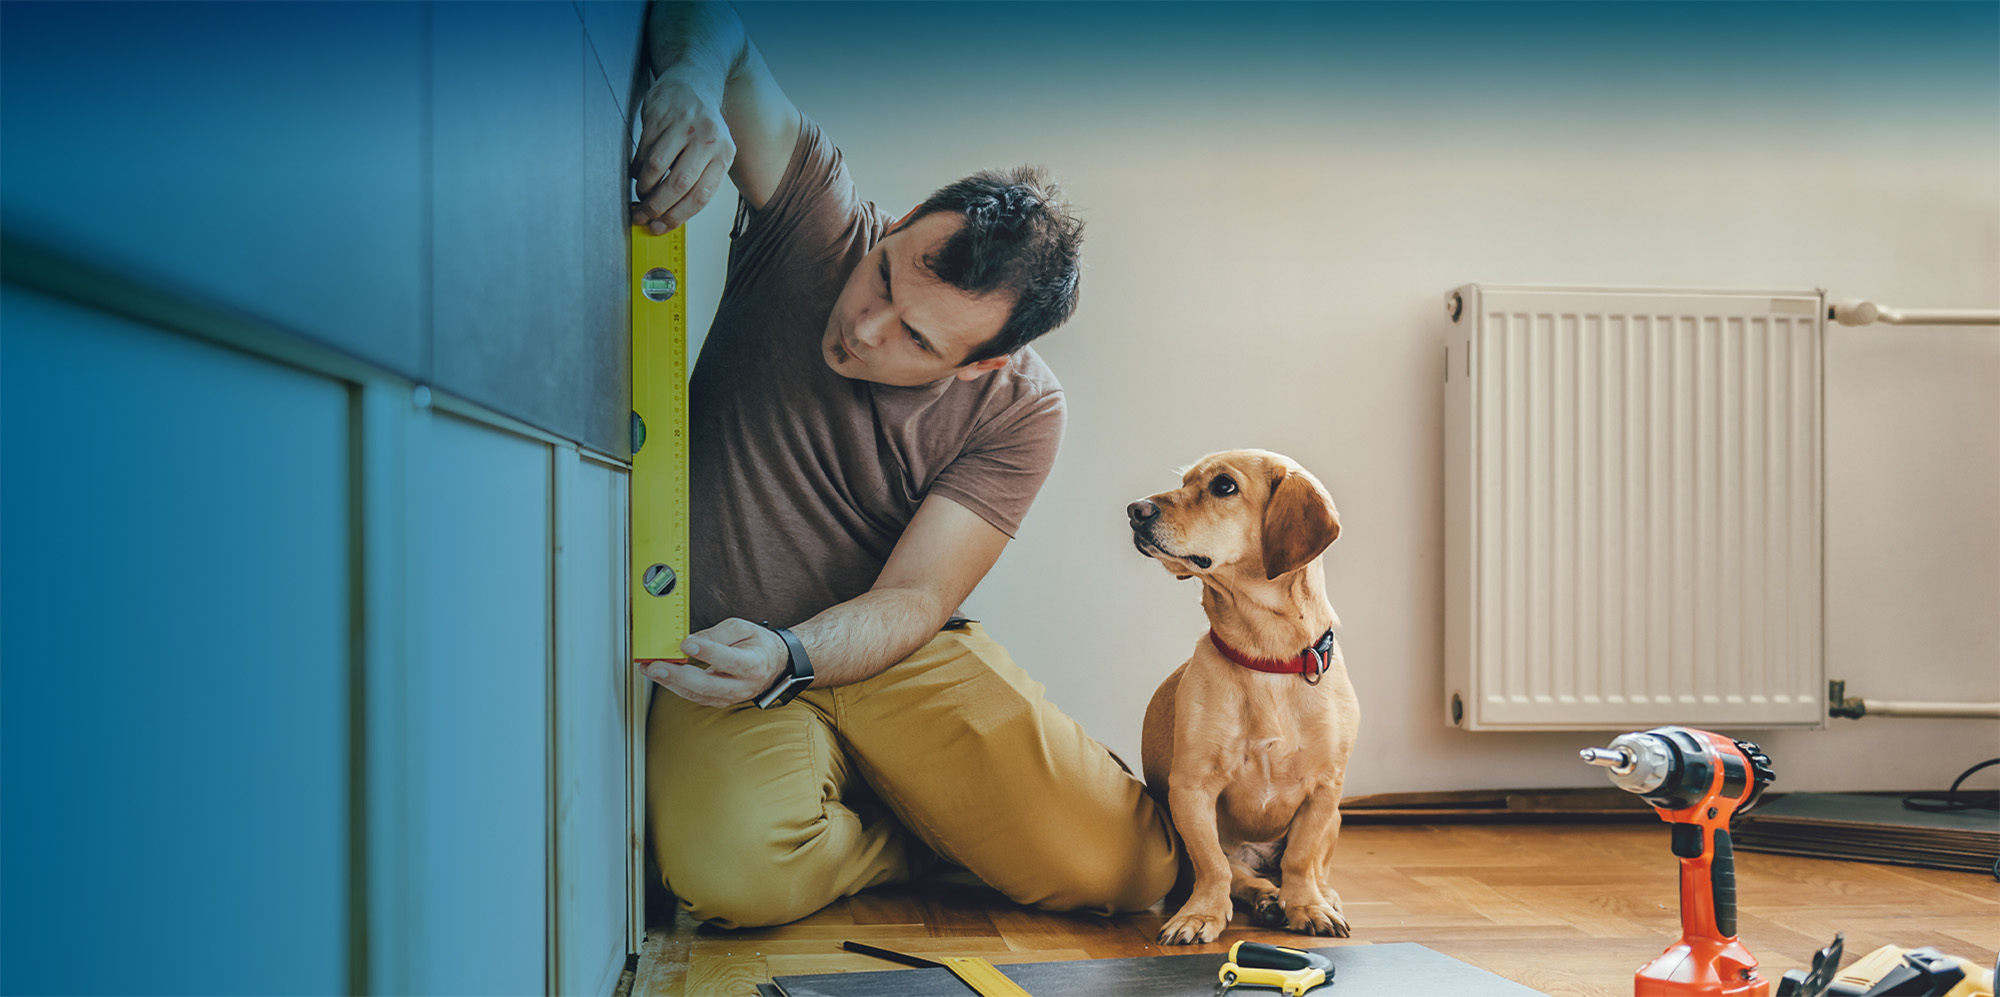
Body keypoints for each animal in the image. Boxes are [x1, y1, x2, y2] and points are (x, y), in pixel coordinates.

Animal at [1128, 448, 1360, 944]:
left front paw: (1307, 906)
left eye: (1223, 486)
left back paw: (1316, 897)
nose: (1135, 510)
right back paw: (1267, 899)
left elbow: (1300, 858)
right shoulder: (1191, 790)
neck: (1267, 657)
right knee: (1242, 876)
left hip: (1335, 818)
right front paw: (1201, 915)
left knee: (1311, 868)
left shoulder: (1325, 790)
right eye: (1186, 481)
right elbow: (1213, 866)